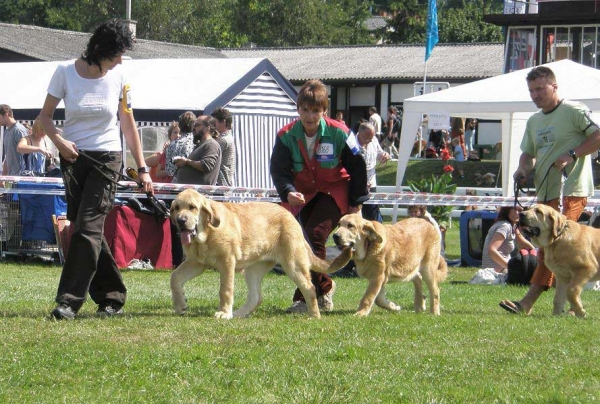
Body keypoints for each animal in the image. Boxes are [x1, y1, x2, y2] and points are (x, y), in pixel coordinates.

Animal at [169, 189, 352, 318]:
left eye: (192, 207)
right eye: (176, 208)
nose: (180, 220)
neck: (206, 235)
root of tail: (291, 217)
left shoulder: (227, 262)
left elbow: (225, 290)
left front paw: (223, 313)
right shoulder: (196, 263)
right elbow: (175, 278)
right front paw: (180, 305)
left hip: (293, 264)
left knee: (309, 287)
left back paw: (314, 315)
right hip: (253, 269)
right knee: (256, 297)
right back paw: (239, 314)